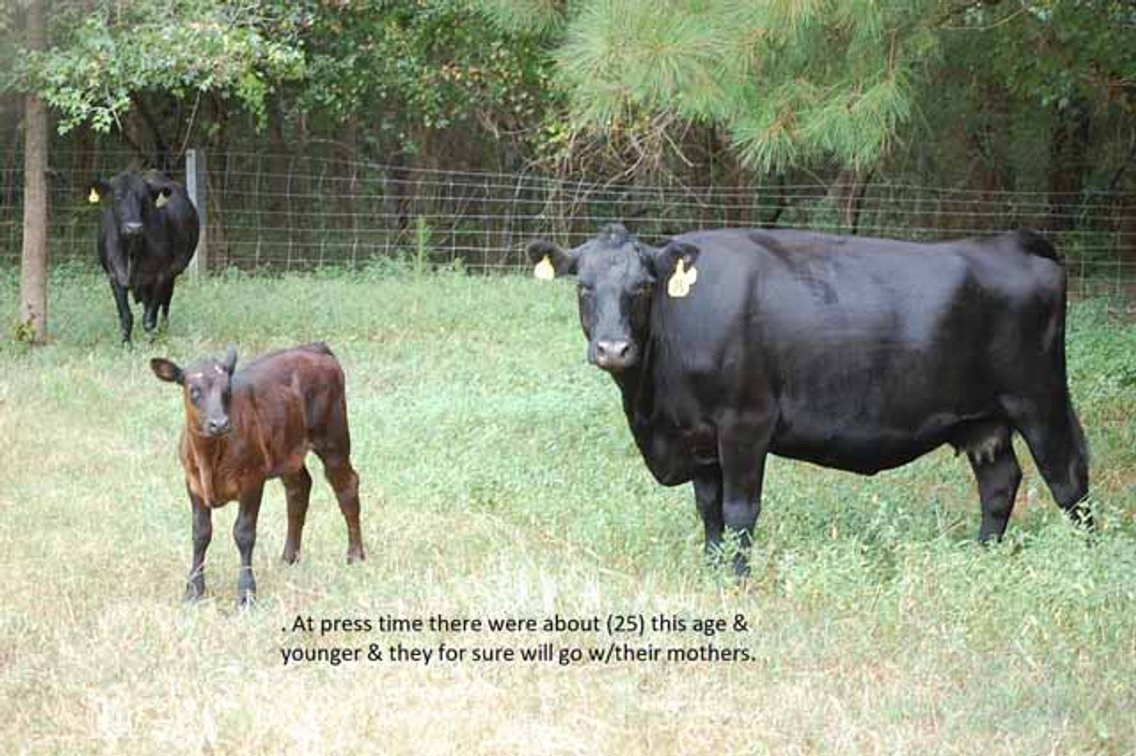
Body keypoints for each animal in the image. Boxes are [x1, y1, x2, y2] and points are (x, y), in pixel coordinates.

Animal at [90, 169, 200, 343]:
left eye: (143, 198)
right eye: (118, 197)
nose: (133, 227)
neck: (132, 250)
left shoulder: (161, 276)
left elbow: (149, 318)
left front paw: (150, 343)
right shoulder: (114, 276)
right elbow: (126, 316)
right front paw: (126, 344)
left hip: (172, 275)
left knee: (165, 303)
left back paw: (163, 331)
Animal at [150, 343, 364, 606]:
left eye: (227, 389)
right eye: (194, 390)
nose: (219, 423)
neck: (209, 459)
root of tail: (315, 348)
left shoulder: (252, 479)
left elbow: (243, 533)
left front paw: (246, 592)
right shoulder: (192, 482)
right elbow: (200, 533)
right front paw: (193, 590)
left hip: (333, 437)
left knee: (347, 487)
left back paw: (355, 555)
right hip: (287, 451)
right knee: (299, 489)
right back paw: (289, 557)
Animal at [528, 224, 1090, 575]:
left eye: (644, 287)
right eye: (583, 286)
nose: (613, 349)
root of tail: (1011, 241)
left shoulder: (745, 423)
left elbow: (739, 510)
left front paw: (738, 581)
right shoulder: (699, 437)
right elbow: (709, 511)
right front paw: (712, 572)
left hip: (1038, 400)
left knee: (1069, 480)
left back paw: (1088, 561)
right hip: (983, 420)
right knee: (999, 484)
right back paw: (981, 558)